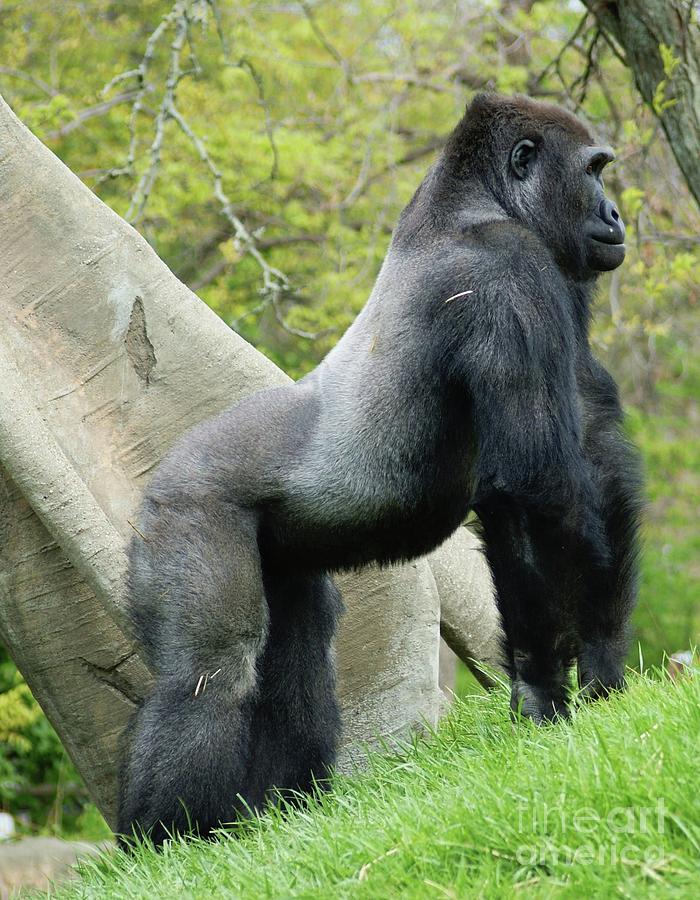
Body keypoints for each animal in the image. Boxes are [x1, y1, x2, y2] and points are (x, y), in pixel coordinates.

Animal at [117, 95, 644, 848]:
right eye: (593, 170)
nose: (615, 216)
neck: (476, 200)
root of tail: (162, 472)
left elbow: (595, 453)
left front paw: (603, 666)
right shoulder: (505, 273)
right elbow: (532, 488)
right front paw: (543, 694)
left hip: (275, 546)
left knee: (299, 643)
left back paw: (284, 809)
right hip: (186, 504)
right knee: (210, 671)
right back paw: (167, 843)